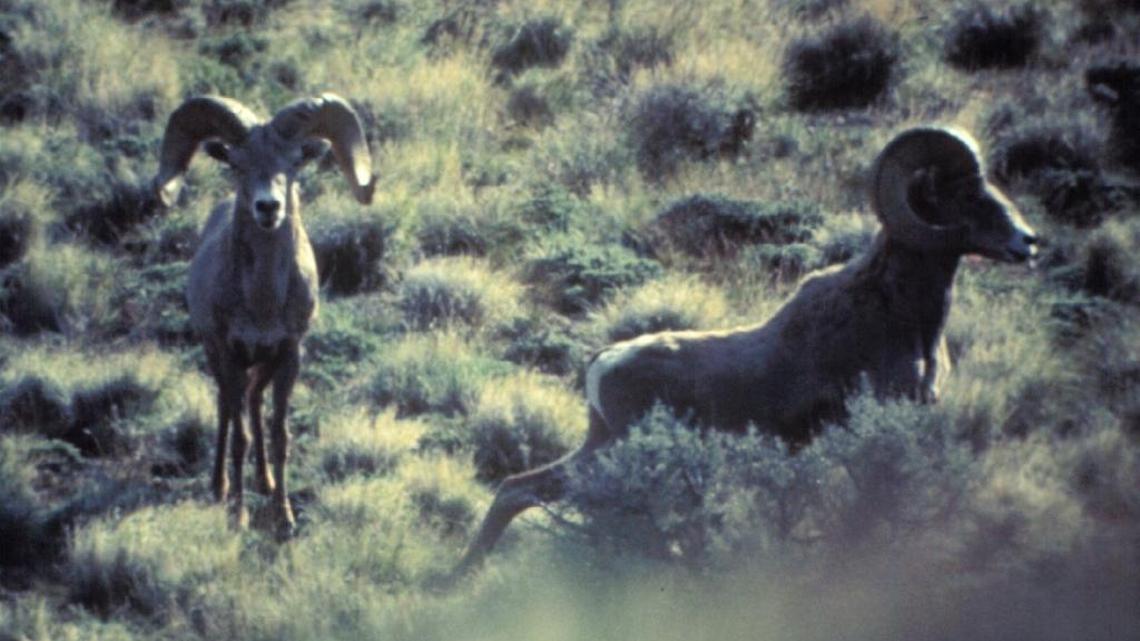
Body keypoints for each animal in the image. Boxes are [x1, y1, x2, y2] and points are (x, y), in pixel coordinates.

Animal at [153, 93, 375, 534]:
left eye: (292, 162)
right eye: (237, 163)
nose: (268, 207)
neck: (263, 303)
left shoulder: (288, 355)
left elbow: (279, 436)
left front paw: (284, 517)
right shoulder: (230, 353)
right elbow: (240, 437)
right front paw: (239, 516)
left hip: (263, 365)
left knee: (254, 402)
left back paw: (264, 480)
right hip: (218, 358)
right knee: (228, 406)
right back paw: (220, 487)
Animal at [452, 126, 1038, 574]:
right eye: (966, 195)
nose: (1028, 242)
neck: (900, 317)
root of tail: (601, 364)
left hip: (599, 448)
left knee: (518, 489)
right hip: (613, 454)